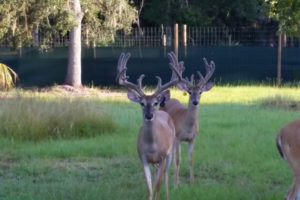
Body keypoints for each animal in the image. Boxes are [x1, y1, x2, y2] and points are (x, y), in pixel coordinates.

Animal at [116, 52, 183, 200]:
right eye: (141, 103)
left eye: (155, 103)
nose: (149, 115)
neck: (152, 146)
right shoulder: (143, 157)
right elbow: (149, 188)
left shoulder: (162, 156)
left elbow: (157, 186)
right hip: (156, 162)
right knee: (157, 175)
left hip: (170, 152)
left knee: (166, 175)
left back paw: (168, 196)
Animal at [159, 55, 216, 185]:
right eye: (190, 92)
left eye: (200, 92)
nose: (195, 101)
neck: (188, 127)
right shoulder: (178, 137)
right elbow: (178, 160)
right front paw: (176, 183)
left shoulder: (193, 138)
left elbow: (191, 160)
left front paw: (192, 182)